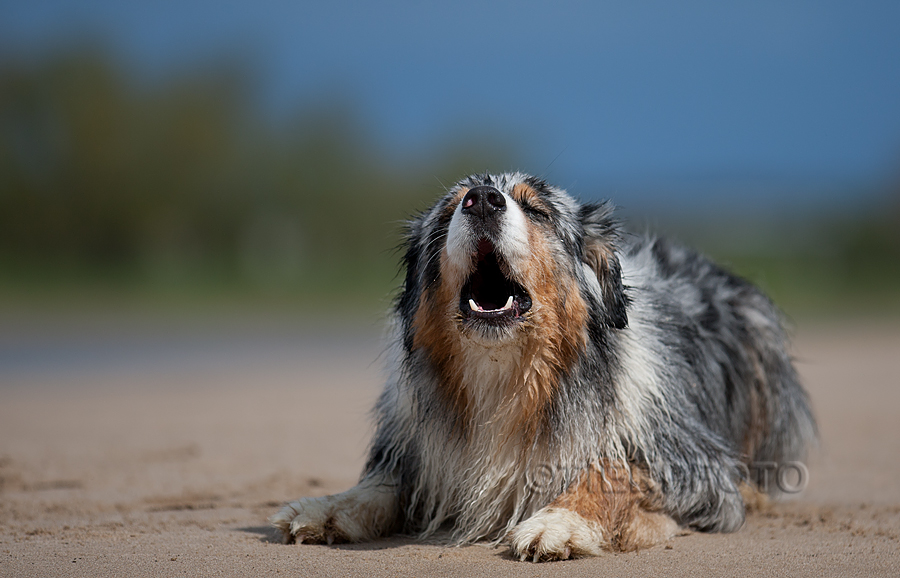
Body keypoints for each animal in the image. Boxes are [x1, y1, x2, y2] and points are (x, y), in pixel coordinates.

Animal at [270, 171, 820, 560]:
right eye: (449, 210)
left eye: (536, 210)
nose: (482, 200)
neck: (508, 373)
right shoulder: (416, 444)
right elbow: (382, 484)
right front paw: (327, 505)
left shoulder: (692, 459)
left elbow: (612, 468)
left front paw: (558, 522)